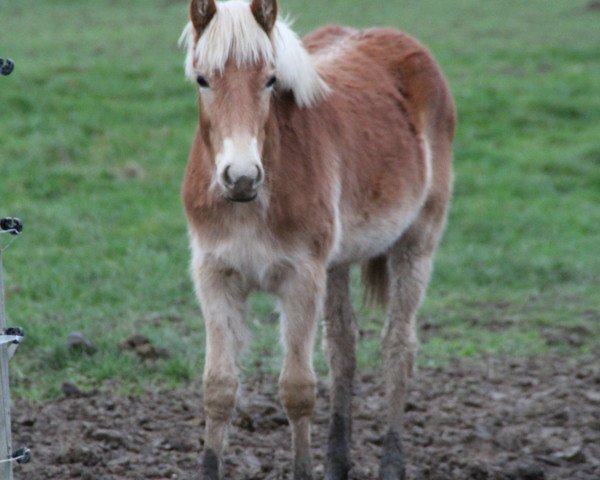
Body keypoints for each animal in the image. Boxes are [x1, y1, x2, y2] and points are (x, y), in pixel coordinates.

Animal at [178, 1, 454, 478]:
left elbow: (297, 390)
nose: (241, 177)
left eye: (270, 80)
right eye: (202, 79)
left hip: (416, 244)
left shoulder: (300, 278)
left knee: (398, 348)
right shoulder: (215, 275)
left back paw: (391, 463)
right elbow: (219, 388)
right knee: (343, 347)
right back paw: (337, 463)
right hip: (337, 263)